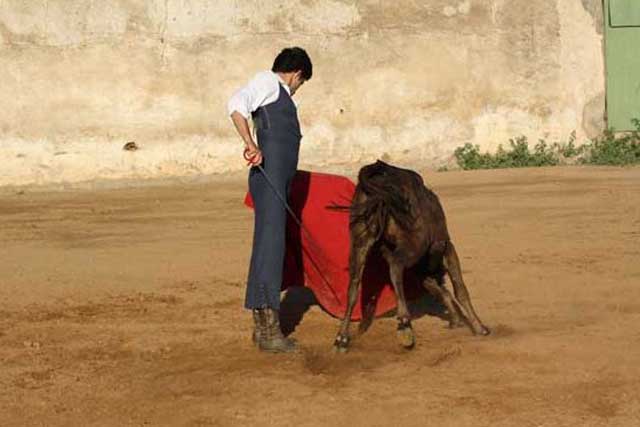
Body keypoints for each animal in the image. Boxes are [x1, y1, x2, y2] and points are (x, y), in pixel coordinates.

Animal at [336, 162, 490, 352]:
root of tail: (380, 173)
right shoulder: (447, 247)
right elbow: (459, 289)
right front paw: (480, 328)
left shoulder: (420, 271)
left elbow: (441, 291)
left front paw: (456, 321)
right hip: (415, 243)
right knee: (395, 267)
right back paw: (404, 322)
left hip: (360, 241)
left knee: (354, 285)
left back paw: (342, 338)